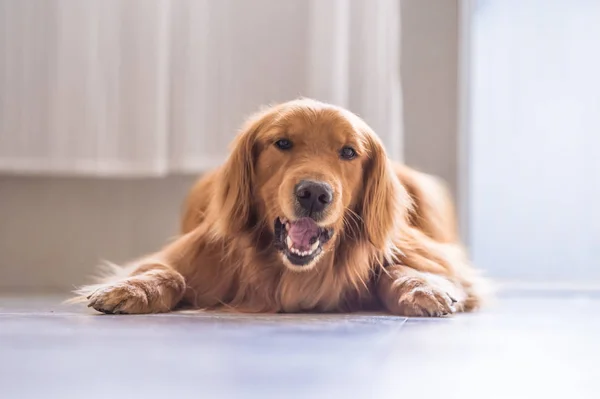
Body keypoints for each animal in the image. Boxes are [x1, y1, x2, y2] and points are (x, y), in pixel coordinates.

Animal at [74, 98, 488, 318]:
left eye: (348, 152)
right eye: (283, 143)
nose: (314, 193)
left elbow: (404, 268)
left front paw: (423, 288)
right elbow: (165, 271)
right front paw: (132, 288)